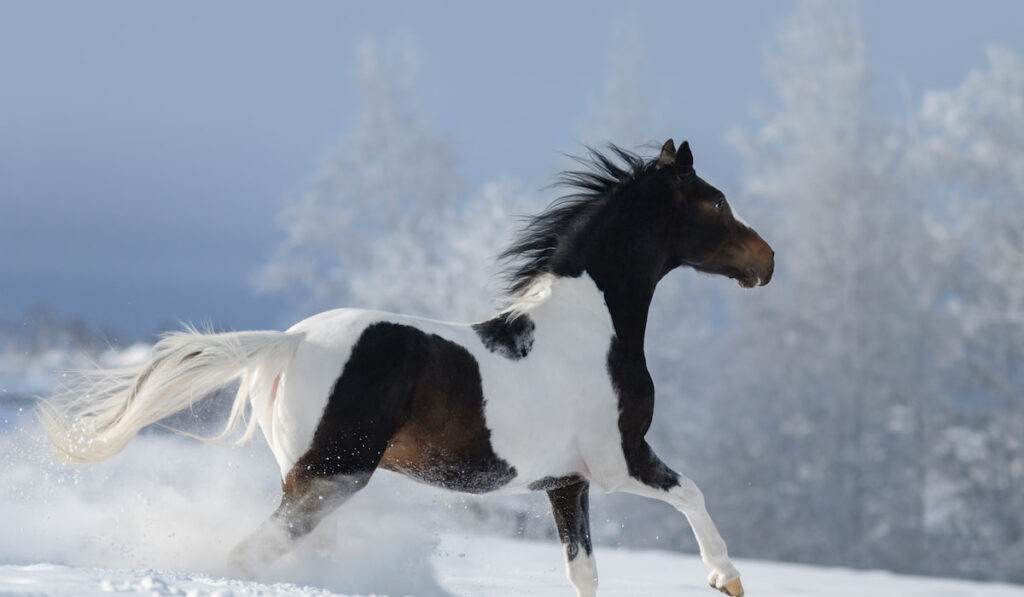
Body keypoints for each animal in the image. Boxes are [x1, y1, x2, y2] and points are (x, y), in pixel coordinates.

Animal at [41, 139, 774, 597]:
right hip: (331, 473)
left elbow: (584, 572)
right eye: (714, 202)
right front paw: (727, 576)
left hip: (312, 478)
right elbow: (692, 493)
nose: (766, 261)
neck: (591, 328)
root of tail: (287, 341)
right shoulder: (619, 459)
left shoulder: (567, 483)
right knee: (249, 552)